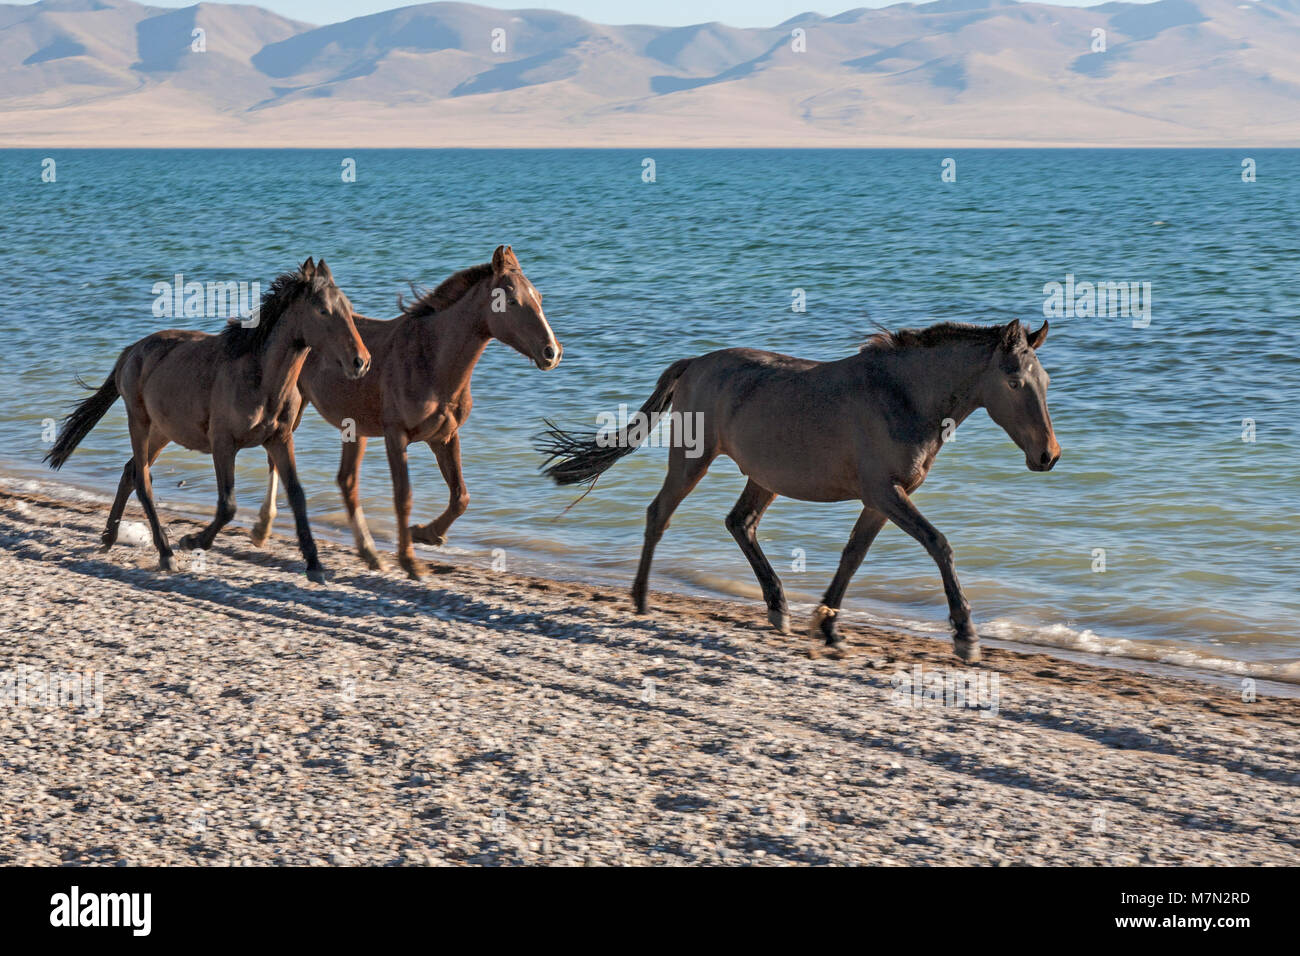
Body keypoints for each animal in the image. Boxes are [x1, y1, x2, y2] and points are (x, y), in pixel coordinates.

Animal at [45, 257, 369, 580]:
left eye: (349, 307)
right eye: (323, 310)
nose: (361, 362)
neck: (261, 379)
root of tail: (131, 351)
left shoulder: (279, 439)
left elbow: (297, 495)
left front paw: (314, 564)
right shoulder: (223, 443)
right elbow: (228, 505)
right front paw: (191, 540)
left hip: (162, 431)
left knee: (130, 472)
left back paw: (108, 538)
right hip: (139, 421)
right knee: (142, 480)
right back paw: (166, 554)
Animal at [250, 243, 561, 580]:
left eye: (539, 297)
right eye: (513, 301)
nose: (552, 352)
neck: (431, 359)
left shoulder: (445, 436)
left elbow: (460, 496)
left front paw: (426, 534)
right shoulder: (396, 435)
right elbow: (404, 497)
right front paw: (410, 559)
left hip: (354, 428)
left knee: (346, 481)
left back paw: (370, 554)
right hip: (293, 410)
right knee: (277, 461)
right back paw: (262, 529)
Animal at [538, 317, 1055, 660]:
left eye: (1046, 381)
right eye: (1014, 381)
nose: (1049, 456)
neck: (903, 397)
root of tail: (695, 363)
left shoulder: (880, 500)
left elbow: (853, 556)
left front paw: (827, 626)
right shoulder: (884, 493)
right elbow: (939, 544)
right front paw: (966, 636)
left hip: (764, 477)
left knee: (740, 523)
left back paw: (779, 608)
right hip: (692, 459)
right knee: (659, 513)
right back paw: (642, 598)